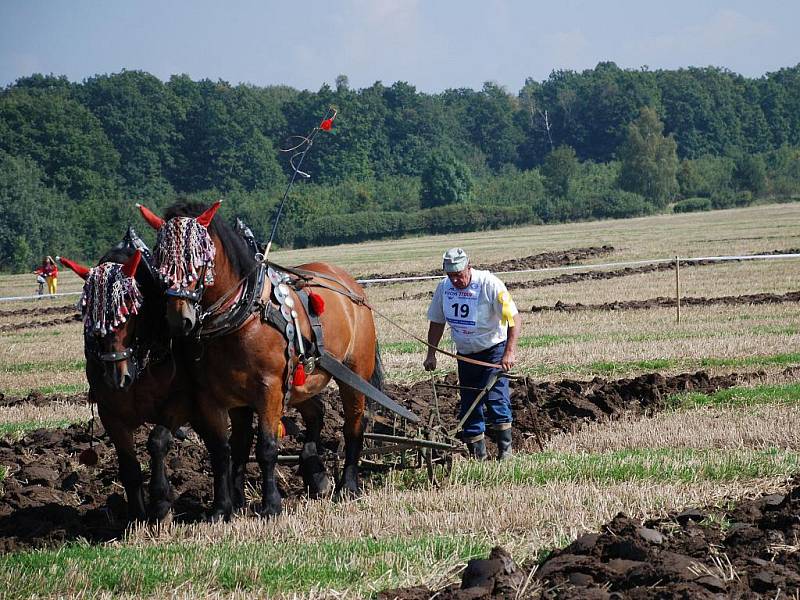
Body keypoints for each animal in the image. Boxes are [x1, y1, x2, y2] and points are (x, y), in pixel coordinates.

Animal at [59, 241, 195, 524]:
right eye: (89, 315)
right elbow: (129, 466)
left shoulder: (181, 401)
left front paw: (161, 501)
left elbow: (157, 441)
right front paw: (136, 515)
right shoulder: (111, 414)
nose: (117, 377)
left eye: (131, 310)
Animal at [139, 203, 380, 520]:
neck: (241, 317)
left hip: (353, 373)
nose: (180, 319)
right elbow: (224, 451)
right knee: (316, 412)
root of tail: (351, 287)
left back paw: (348, 485)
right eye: (159, 258)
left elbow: (266, 447)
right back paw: (315, 475)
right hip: (301, 381)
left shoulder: (269, 389)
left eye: (198, 256)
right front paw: (222, 508)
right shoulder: (213, 397)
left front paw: (271, 505)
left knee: (354, 423)